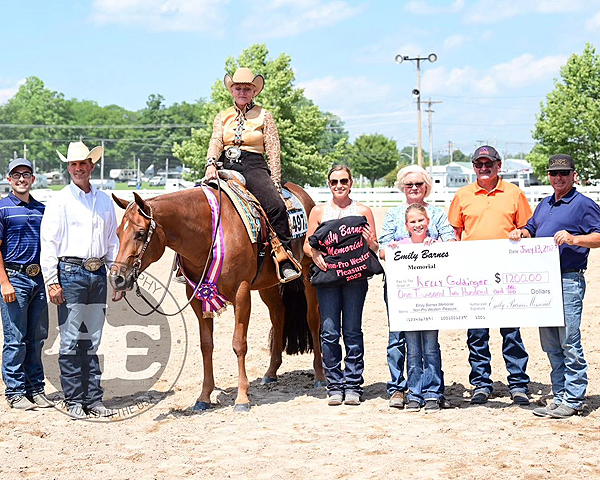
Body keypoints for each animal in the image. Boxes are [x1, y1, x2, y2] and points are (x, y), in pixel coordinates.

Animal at [110, 184, 326, 412]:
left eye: (140, 233)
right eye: (118, 233)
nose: (117, 278)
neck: (208, 234)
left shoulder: (241, 293)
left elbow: (239, 343)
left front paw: (242, 397)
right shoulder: (197, 297)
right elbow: (206, 345)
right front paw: (204, 397)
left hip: (308, 271)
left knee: (313, 320)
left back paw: (320, 376)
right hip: (268, 285)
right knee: (278, 318)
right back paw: (270, 373)